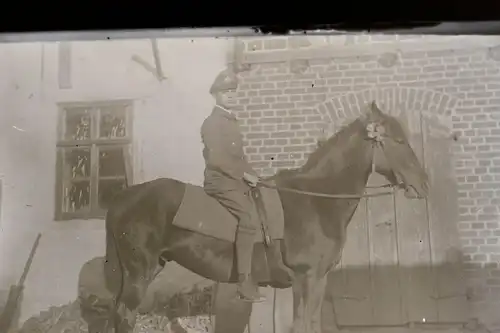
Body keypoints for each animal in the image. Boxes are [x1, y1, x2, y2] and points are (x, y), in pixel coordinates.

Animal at [80, 101, 428, 332]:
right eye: (399, 141)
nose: (423, 184)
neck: (315, 199)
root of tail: (124, 197)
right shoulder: (306, 277)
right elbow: (302, 325)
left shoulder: (318, 279)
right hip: (139, 272)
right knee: (124, 316)